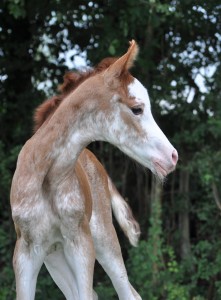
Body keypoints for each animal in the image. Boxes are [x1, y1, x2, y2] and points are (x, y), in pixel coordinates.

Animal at [10, 40, 178, 300]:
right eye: (137, 109)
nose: (172, 157)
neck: (46, 177)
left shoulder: (81, 244)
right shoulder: (26, 251)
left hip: (104, 240)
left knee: (128, 292)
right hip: (55, 257)